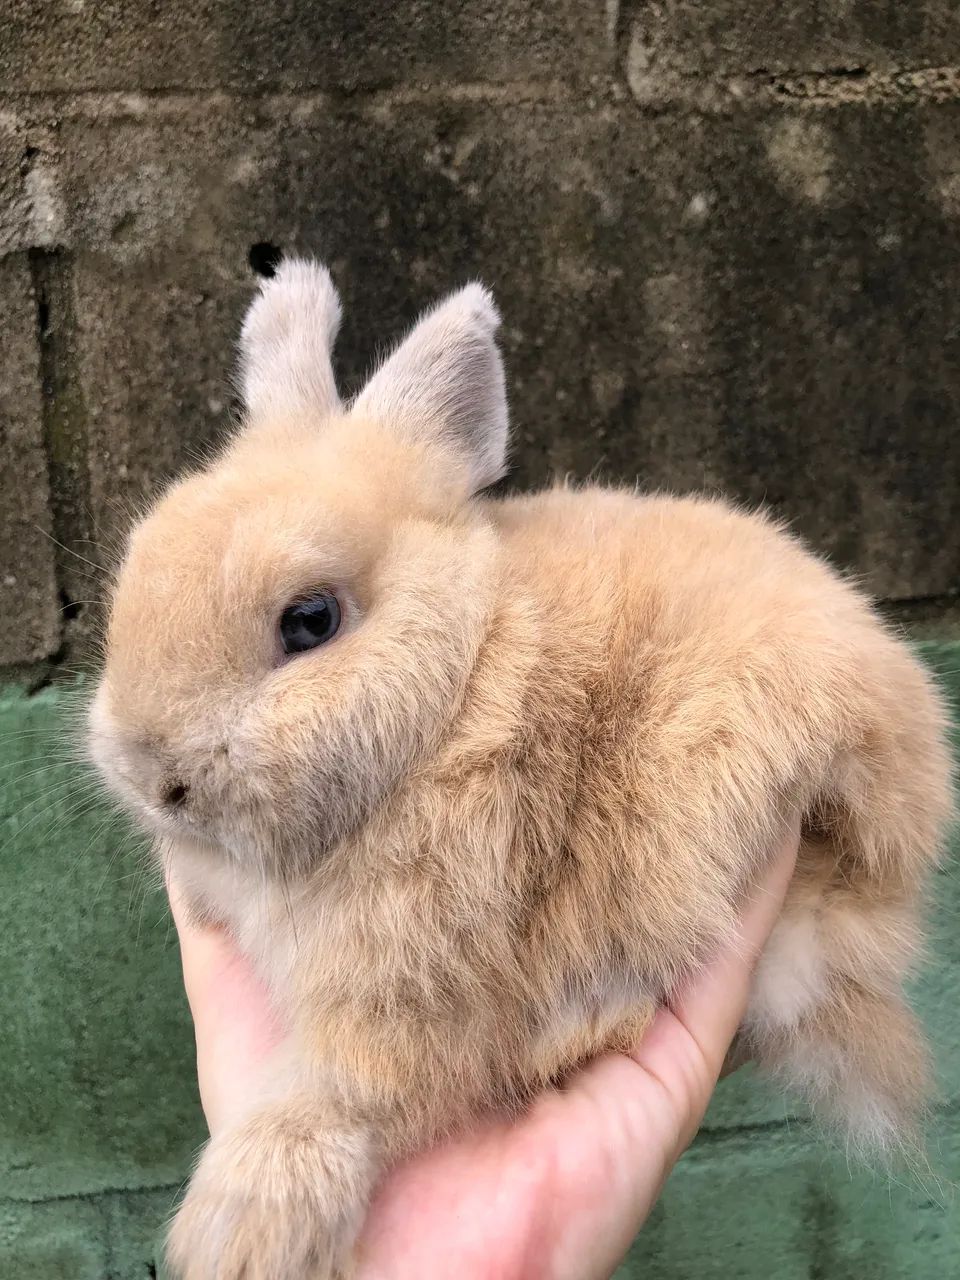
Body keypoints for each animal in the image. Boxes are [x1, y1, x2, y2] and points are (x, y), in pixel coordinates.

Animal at [88, 258, 954, 1280]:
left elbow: (345, 1091)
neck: (458, 689)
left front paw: (240, 1232)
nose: (158, 779)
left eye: (309, 621)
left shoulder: (418, 983)